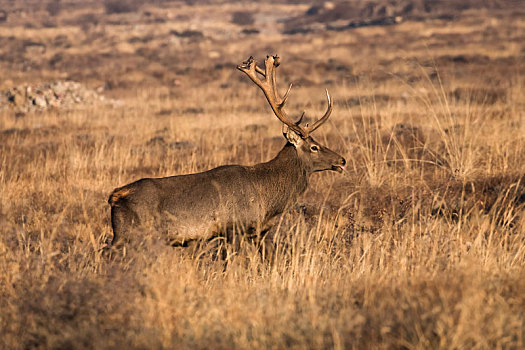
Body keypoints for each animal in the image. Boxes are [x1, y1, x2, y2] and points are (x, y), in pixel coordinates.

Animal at [107, 54, 346, 247]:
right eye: (314, 146)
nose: (342, 160)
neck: (267, 199)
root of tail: (114, 197)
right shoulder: (234, 228)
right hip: (131, 234)